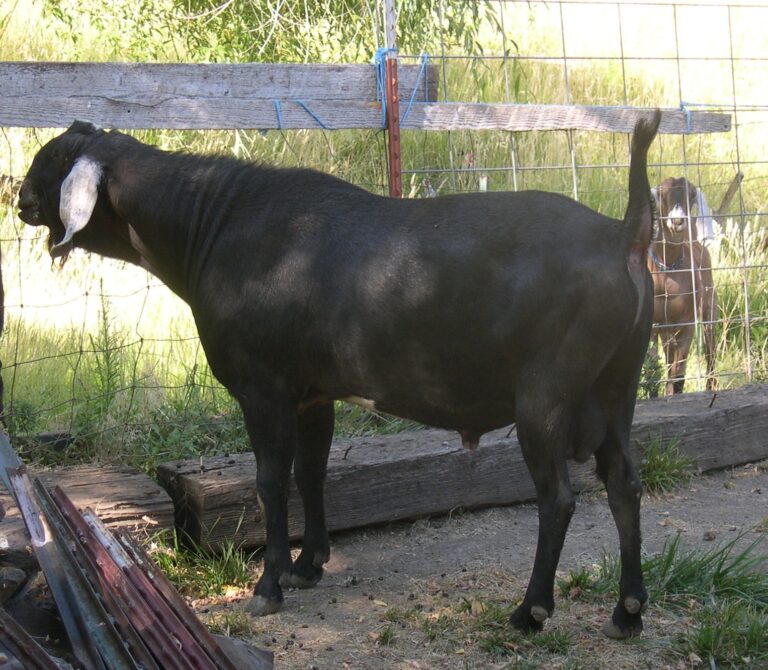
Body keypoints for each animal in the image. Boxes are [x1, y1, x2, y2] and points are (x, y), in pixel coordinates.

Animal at [19, 114, 660, 640]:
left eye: (54, 158)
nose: (21, 200)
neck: (214, 225)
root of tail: (622, 234)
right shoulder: (312, 395)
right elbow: (311, 473)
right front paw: (308, 566)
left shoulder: (264, 389)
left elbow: (271, 481)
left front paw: (268, 586)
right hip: (616, 389)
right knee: (625, 487)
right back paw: (627, 611)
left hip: (546, 396)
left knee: (559, 499)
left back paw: (531, 611)